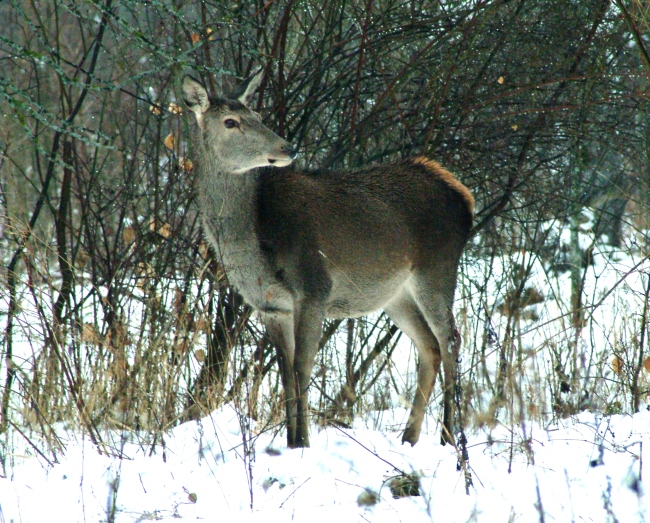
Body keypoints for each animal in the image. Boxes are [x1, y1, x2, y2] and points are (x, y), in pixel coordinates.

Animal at [180, 70, 474, 450]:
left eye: (258, 115)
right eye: (231, 121)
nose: (286, 148)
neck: (252, 242)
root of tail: (465, 197)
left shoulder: (313, 287)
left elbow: (303, 365)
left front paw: (303, 442)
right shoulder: (270, 306)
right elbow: (286, 373)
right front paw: (290, 442)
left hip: (437, 269)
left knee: (451, 339)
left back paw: (448, 437)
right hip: (396, 293)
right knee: (430, 346)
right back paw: (409, 438)